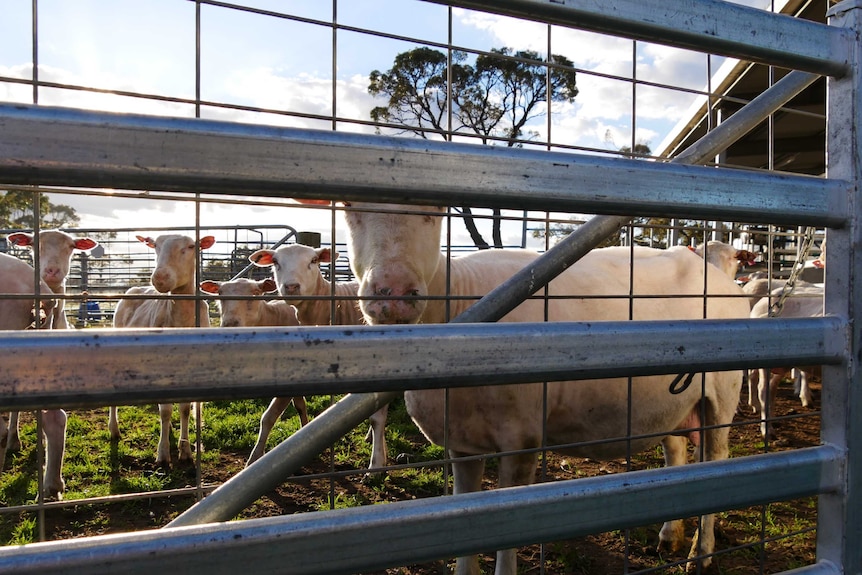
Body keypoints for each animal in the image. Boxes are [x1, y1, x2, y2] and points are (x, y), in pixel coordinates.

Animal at [112, 232, 215, 466]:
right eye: (155, 246)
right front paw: (163, 453)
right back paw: (114, 430)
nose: (159, 278)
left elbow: (184, 409)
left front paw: (185, 450)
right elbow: (166, 411)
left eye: (191, 246)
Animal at [199, 276, 310, 466]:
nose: (230, 325)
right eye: (220, 294)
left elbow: (268, 417)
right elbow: (300, 406)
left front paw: (254, 458)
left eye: (256, 293)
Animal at [246, 243, 388, 472]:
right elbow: (269, 416)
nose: (291, 287)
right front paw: (254, 460)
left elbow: (377, 417)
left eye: (313, 261)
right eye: (275, 262)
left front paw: (377, 463)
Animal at [296, 199, 748, 575]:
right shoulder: (462, 441)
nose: (392, 295)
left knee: (716, 458)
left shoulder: (523, 439)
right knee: (678, 453)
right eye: (349, 208)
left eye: (434, 211)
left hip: (723, 393)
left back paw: (702, 553)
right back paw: (670, 536)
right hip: (673, 400)